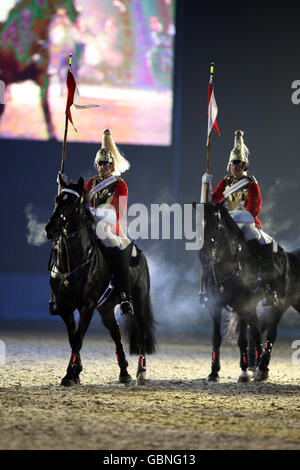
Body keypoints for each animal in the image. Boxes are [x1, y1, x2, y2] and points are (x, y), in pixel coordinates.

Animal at [46, 176, 157, 386]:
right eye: (57, 199)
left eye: (74, 202)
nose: (51, 229)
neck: (73, 262)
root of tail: (140, 253)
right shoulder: (65, 307)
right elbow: (73, 338)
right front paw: (75, 372)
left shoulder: (87, 306)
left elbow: (78, 338)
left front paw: (70, 374)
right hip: (106, 309)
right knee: (116, 333)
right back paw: (124, 372)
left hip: (138, 301)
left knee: (142, 333)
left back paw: (141, 372)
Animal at [197, 202, 300, 382]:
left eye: (215, 225)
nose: (204, 256)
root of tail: (286, 256)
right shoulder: (215, 307)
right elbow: (217, 338)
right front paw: (214, 372)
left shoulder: (244, 305)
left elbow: (242, 339)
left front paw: (243, 372)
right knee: (257, 331)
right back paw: (257, 366)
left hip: (277, 304)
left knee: (270, 333)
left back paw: (262, 367)